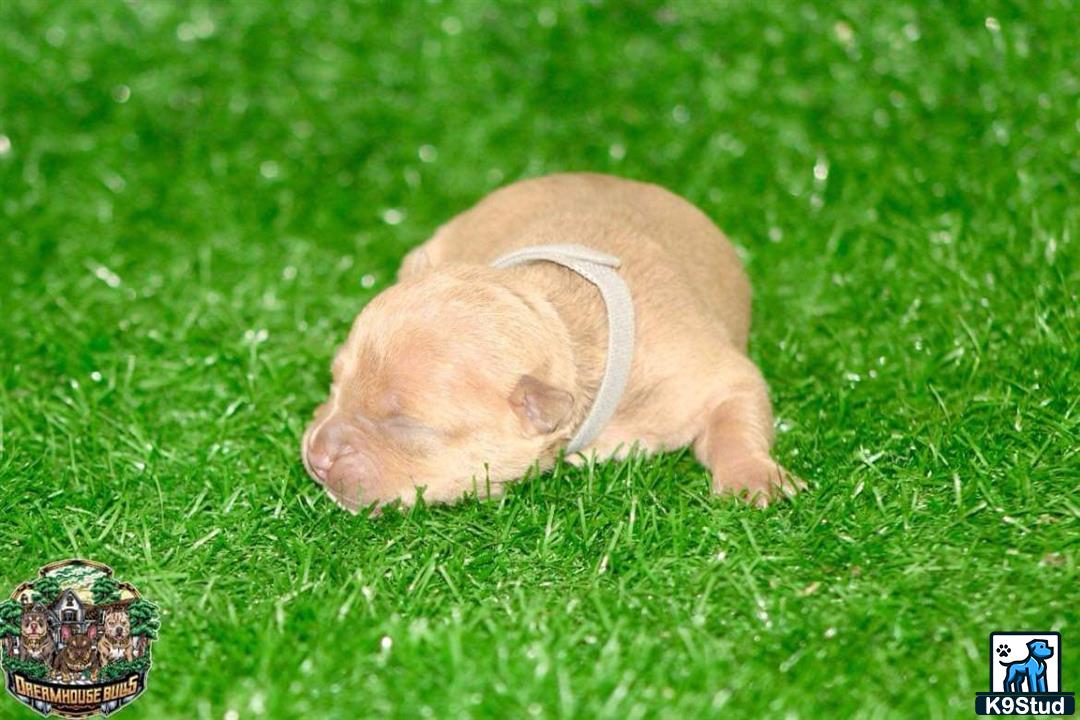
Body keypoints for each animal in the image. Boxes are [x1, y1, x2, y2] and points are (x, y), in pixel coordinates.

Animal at [304, 173, 803, 511]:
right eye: (335, 382)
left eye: (406, 424)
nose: (317, 455)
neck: (561, 316)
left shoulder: (703, 373)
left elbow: (737, 413)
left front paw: (755, 479)